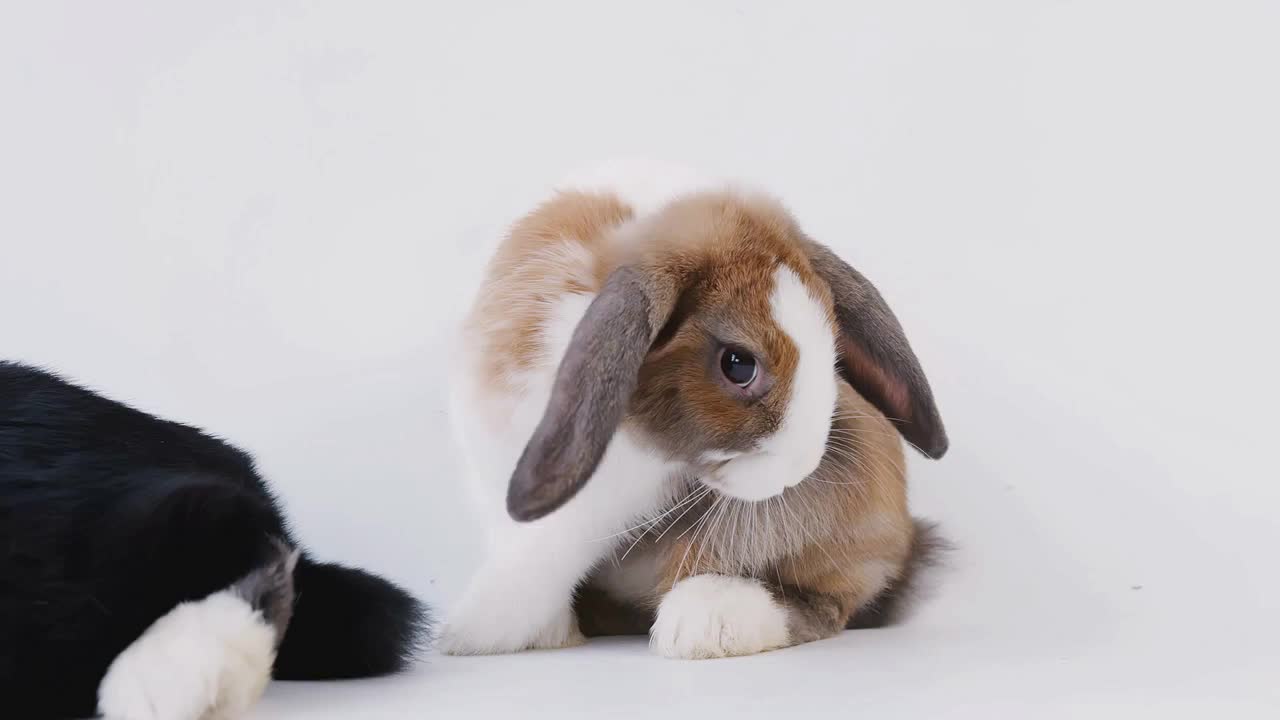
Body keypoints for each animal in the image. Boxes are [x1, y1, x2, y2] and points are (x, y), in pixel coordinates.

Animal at [445, 161, 947, 655]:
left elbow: (542, 556)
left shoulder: (597, 508)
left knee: (823, 604)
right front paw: (518, 630)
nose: (802, 467)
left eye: (833, 349)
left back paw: (706, 620)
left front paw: (473, 629)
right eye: (738, 365)